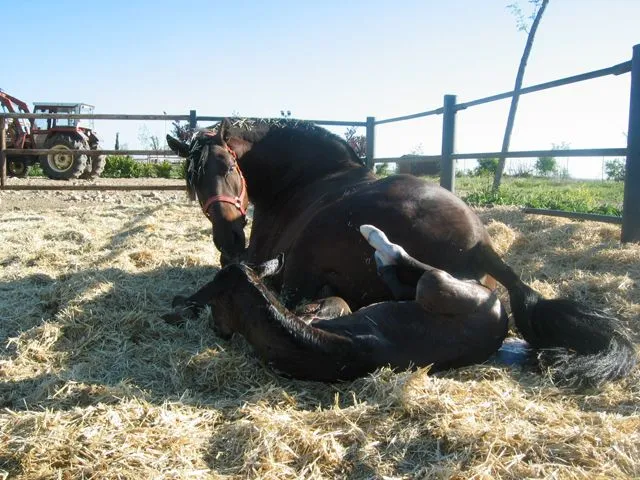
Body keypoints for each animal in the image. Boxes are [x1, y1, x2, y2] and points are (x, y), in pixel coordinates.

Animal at [167, 118, 637, 386]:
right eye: (192, 181)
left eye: (229, 168)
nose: (229, 239)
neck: (304, 181)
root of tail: (482, 245)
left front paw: (188, 301)